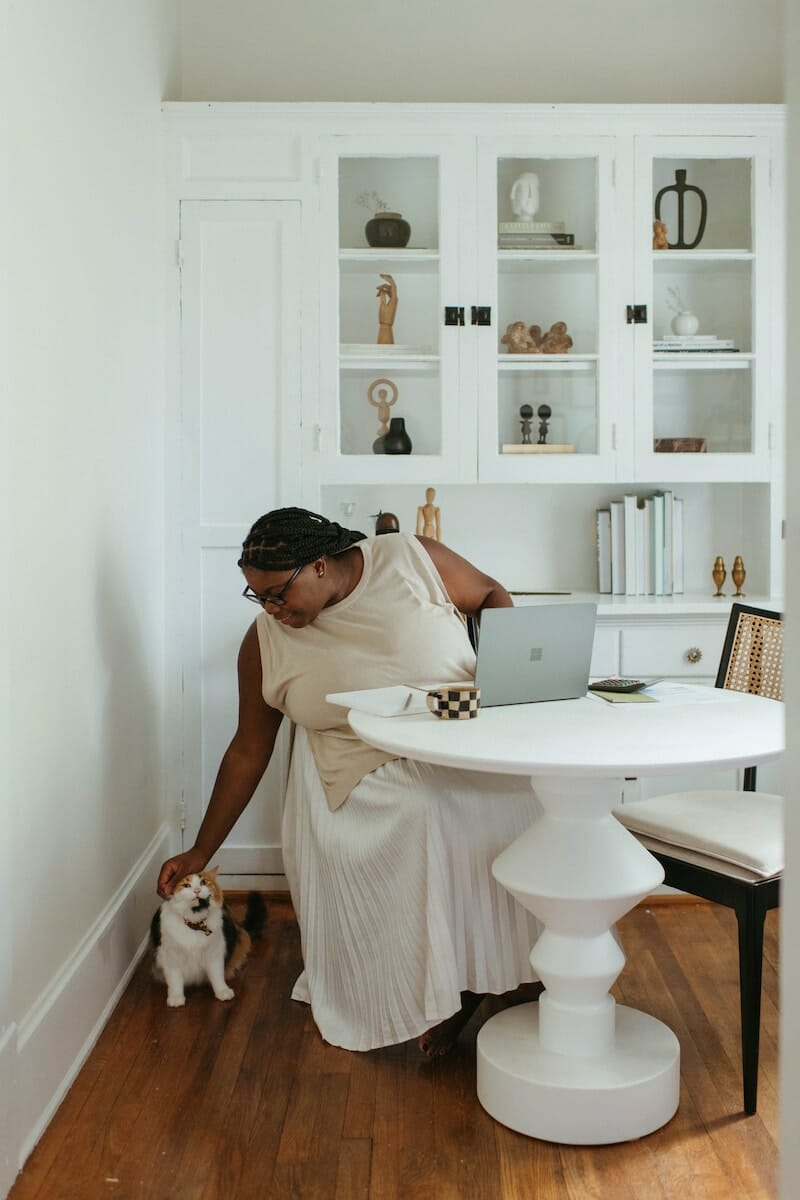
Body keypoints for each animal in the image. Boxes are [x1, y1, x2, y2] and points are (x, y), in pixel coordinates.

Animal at [146, 868, 266, 1008]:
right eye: (186, 885)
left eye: (203, 882)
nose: (197, 890)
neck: (195, 924)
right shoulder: (170, 957)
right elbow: (175, 980)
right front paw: (176, 998)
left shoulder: (215, 952)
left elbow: (217, 975)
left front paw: (222, 991)